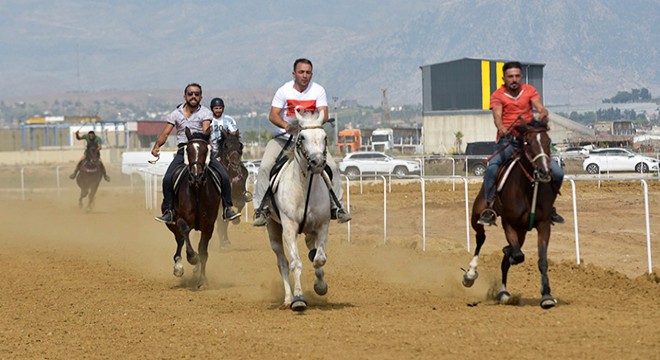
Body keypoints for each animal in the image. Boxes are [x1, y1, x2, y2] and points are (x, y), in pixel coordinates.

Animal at [165, 128, 222, 288]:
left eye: (205, 150)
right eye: (188, 150)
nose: (196, 176)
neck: (196, 190)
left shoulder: (209, 226)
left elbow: (203, 252)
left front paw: (202, 280)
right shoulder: (180, 220)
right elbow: (185, 235)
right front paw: (192, 258)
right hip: (171, 224)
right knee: (180, 240)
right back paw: (178, 267)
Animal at [266, 108, 332, 310]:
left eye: (324, 137)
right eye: (302, 137)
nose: (318, 162)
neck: (305, 189)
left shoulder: (322, 225)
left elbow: (319, 258)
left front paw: (321, 287)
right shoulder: (289, 227)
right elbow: (296, 263)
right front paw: (298, 298)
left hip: (310, 230)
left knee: (312, 249)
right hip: (273, 228)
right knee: (282, 262)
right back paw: (288, 299)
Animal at [462, 120, 560, 310]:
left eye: (548, 141)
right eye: (528, 142)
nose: (544, 171)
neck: (529, 188)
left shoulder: (543, 225)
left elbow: (541, 260)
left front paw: (547, 295)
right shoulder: (509, 223)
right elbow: (517, 255)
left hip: (521, 231)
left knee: (506, 260)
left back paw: (504, 293)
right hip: (477, 216)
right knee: (480, 239)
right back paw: (470, 274)